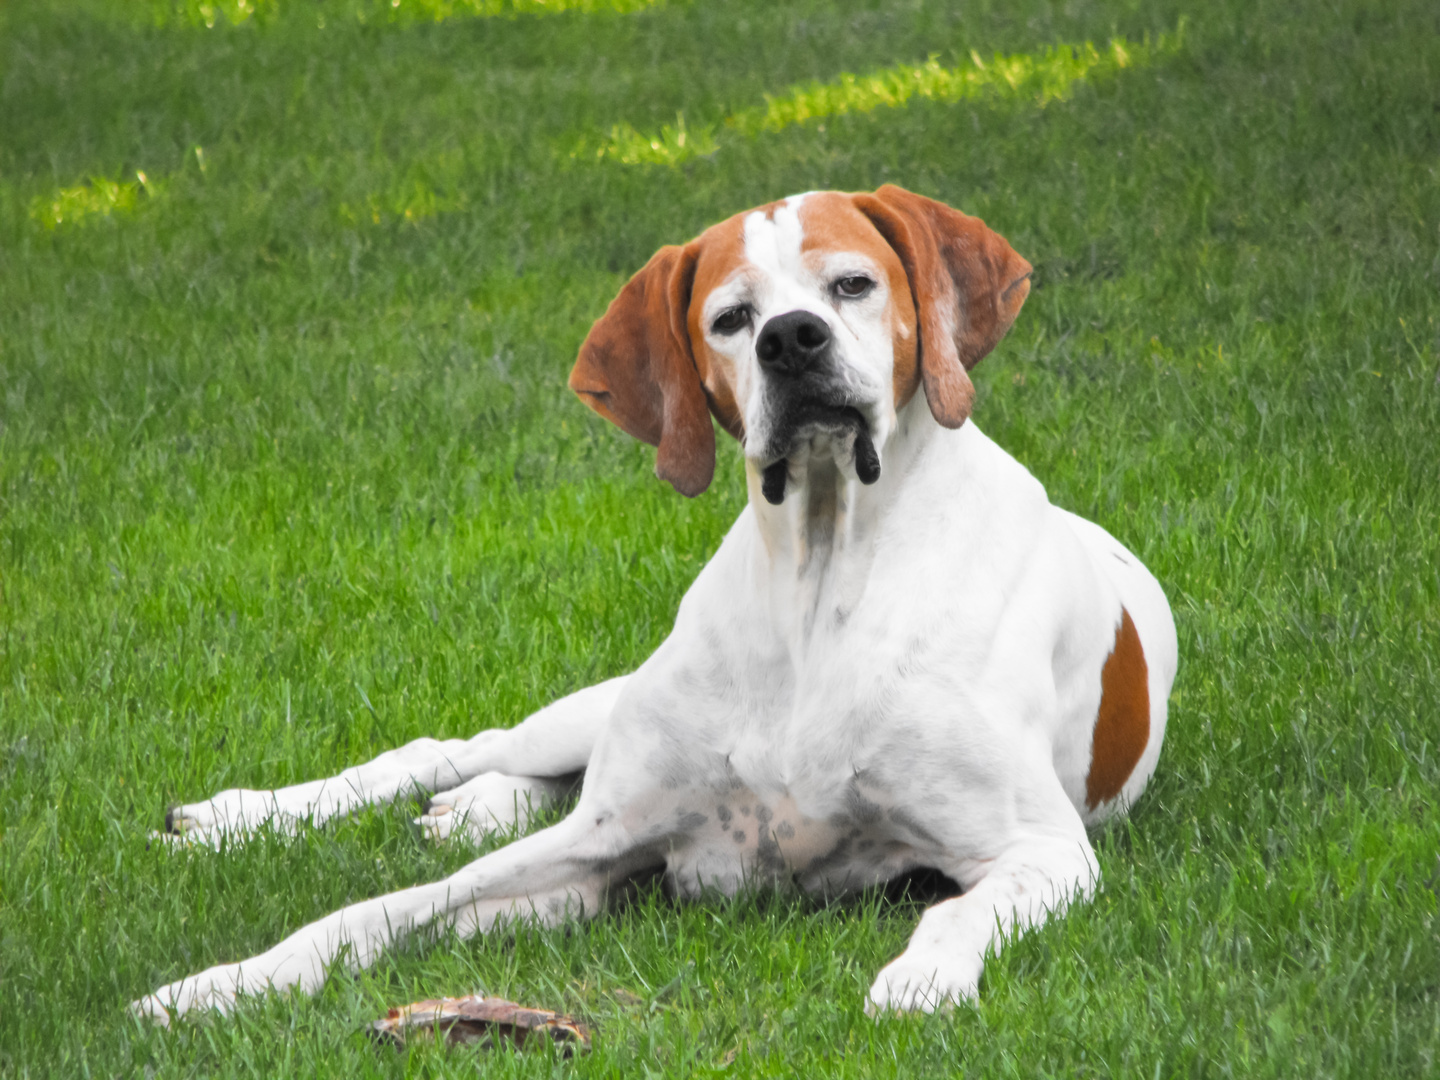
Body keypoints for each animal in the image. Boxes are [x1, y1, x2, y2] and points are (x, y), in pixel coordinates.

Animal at [135, 185, 1175, 1025]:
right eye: (731, 318)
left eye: (851, 285)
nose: (790, 339)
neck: (823, 571)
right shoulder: (600, 849)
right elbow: (385, 908)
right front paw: (226, 982)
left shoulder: (1042, 850)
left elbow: (960, 913)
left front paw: (923, 977)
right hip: (586, 716)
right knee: (453, 749)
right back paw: (251, 814)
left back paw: (476, 806)